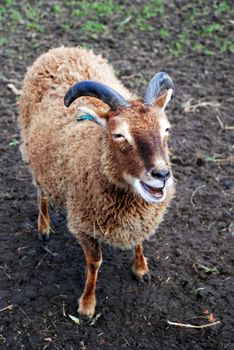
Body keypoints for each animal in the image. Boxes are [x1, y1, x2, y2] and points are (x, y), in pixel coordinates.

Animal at [18, 46, 176, 320]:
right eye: (119, 134)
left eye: (166, 129)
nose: (161, 174)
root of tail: (62, 49)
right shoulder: (84, 224)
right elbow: (94, 263)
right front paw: (87, 306)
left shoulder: (139, 219)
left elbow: (138, 240)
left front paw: (141, 268)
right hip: (33, 153)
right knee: (41, 192)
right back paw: (44, 227)